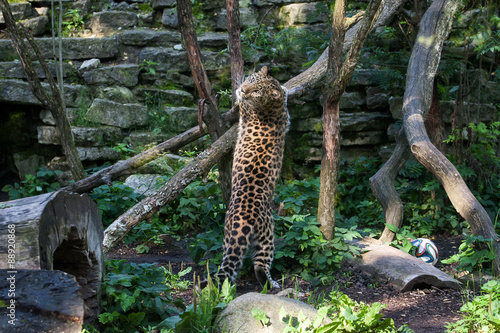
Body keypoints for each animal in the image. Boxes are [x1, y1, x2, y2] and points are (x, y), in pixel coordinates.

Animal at [216, 65, 290, 288]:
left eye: (257, 91)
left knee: (256, 266)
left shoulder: (247, 107)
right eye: (251, 80)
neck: (271, 106)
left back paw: (271, 284)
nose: (243, 89)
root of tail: (243, 218)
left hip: (262, 235)